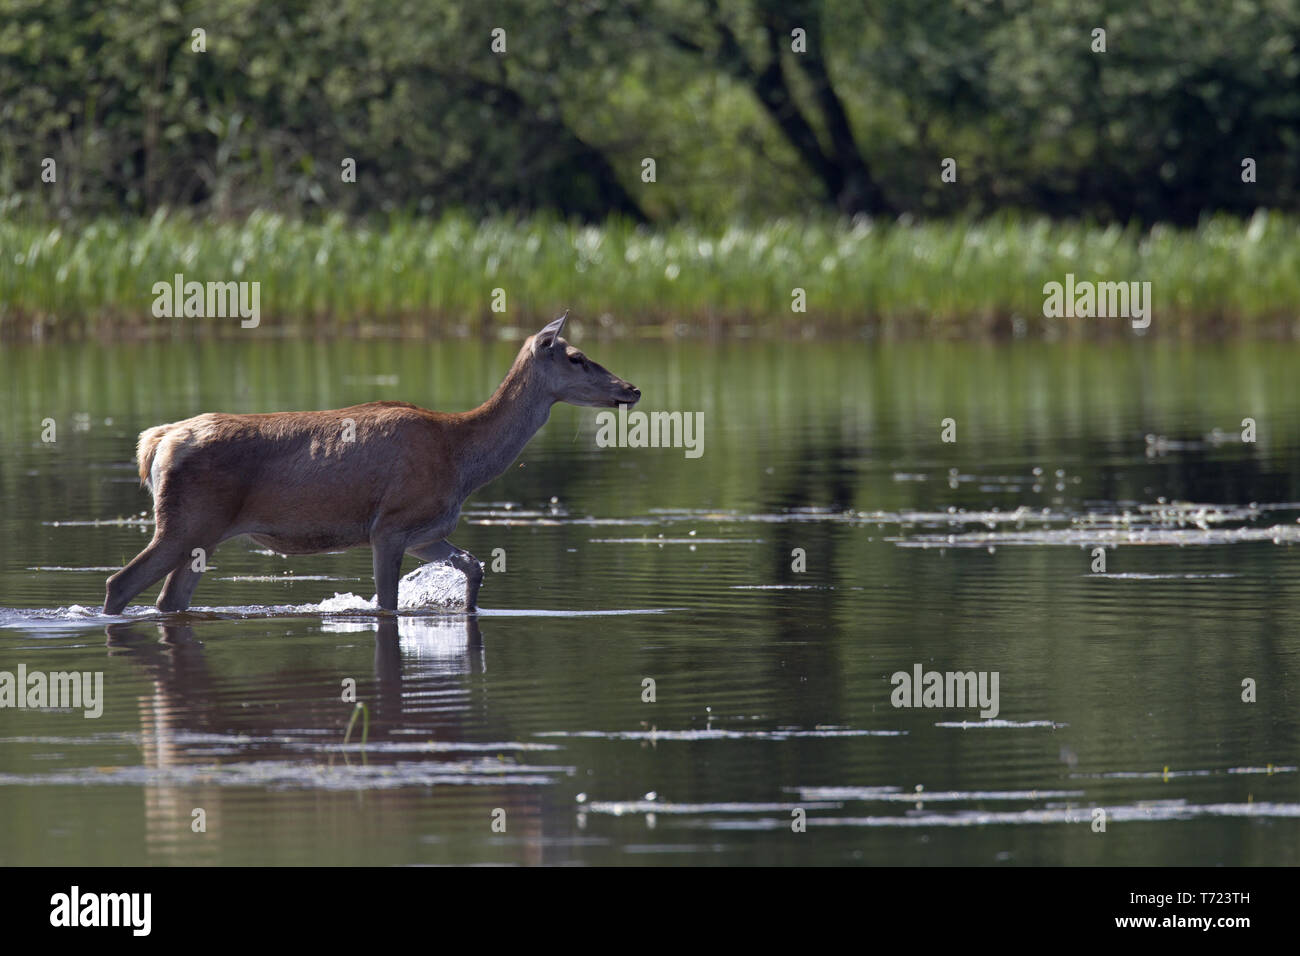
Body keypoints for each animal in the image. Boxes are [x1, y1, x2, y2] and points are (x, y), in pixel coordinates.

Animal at [104, 310, 642, 616]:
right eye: (576, 356)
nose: (631, 388)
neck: (462, 459)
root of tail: (156, 442)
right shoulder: (390, 525)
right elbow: (387, 604)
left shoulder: (425, 530)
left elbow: (474, 567)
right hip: (187, 522)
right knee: (120, 581)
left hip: (204, 536)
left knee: (169, 598)